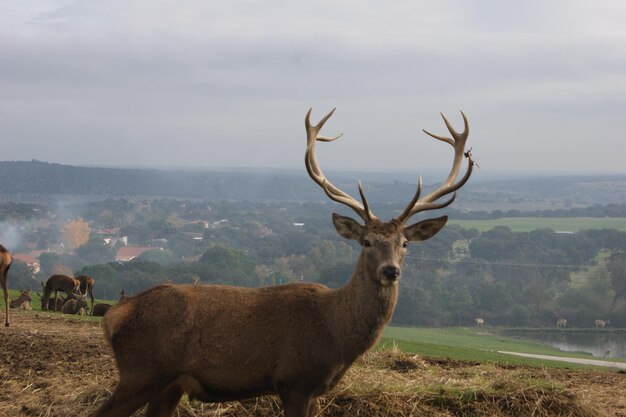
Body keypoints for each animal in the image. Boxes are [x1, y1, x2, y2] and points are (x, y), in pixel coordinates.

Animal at [90, 108, 472, 416]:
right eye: (366, 242)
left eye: (404, 243)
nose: (390, 270)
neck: (335, 333)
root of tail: (114, 315)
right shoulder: (294, 380)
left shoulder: (314, 390)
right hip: (142, 372)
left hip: (169, 384)